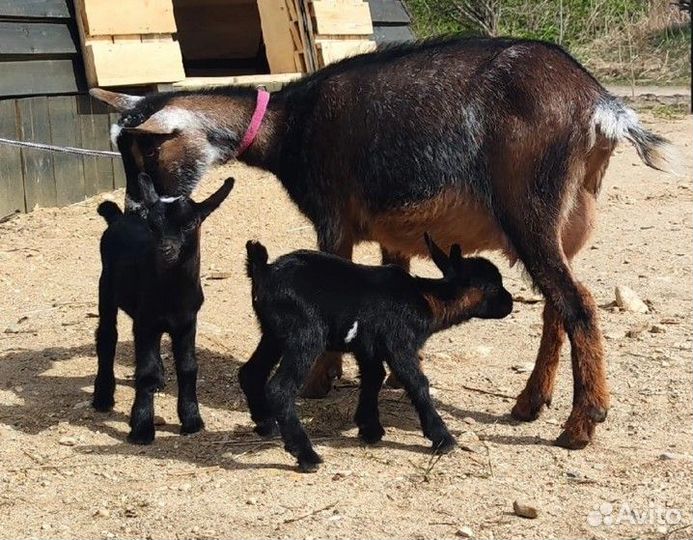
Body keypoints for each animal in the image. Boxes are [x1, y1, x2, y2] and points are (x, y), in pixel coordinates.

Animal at [93, 173, 234, 444]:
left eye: (190, 225)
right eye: (152, 226)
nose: (165, 250)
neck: (172, 295)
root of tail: (118, 218)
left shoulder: (187, 323)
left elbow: (188, 367)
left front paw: (192, 420)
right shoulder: (146, 322)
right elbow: (144, 372)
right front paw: (141, 427)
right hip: (106, 288)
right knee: (106, 335)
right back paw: (103, 397)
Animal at [239, 234, 513, 471]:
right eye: (492, 286)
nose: (510, 303)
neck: (427, 299)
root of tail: (263, 271)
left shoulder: (368, 346)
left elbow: (373, 377)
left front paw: (369, 428)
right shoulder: (399, 342)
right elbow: (417, 383)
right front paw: (442, 439)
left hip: (273, 334)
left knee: (251, 372)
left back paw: (265, 424)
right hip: (304, 335)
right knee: (280, 388)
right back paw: (307, 455)